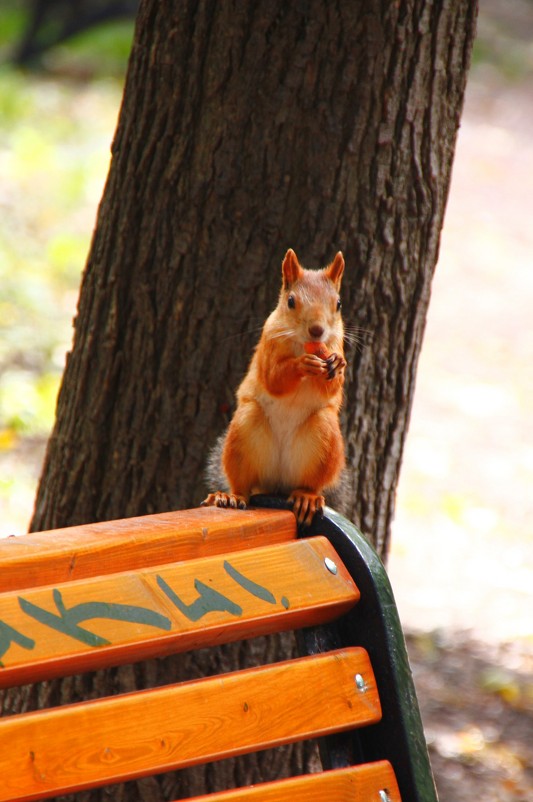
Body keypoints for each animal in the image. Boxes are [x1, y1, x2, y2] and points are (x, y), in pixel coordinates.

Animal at [202, 250, 348, 524]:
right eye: (291, 301)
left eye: (338, 304)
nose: (317, 330)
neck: (303, 345)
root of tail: (278, 484)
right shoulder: (268, 346)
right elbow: (274, 378)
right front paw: (302, 364)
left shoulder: (337, 342)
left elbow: (332, 388)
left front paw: (337, 363)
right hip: (244, 431)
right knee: (243, 485)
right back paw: (231, 496)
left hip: (324, 439)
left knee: (309, 484)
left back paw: (306, 497)